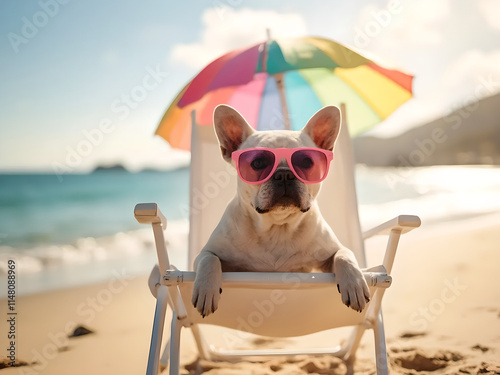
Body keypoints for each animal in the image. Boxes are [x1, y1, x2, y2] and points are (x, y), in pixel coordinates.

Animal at [192, 105, 372, 318]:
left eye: (306, 162)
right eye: (258, 163)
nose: (284, 174)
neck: (277, 226)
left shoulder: (331, 251)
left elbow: (344, 255)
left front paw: (354, 284)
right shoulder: (206, 253)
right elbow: (209, 259)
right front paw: (206, 289)